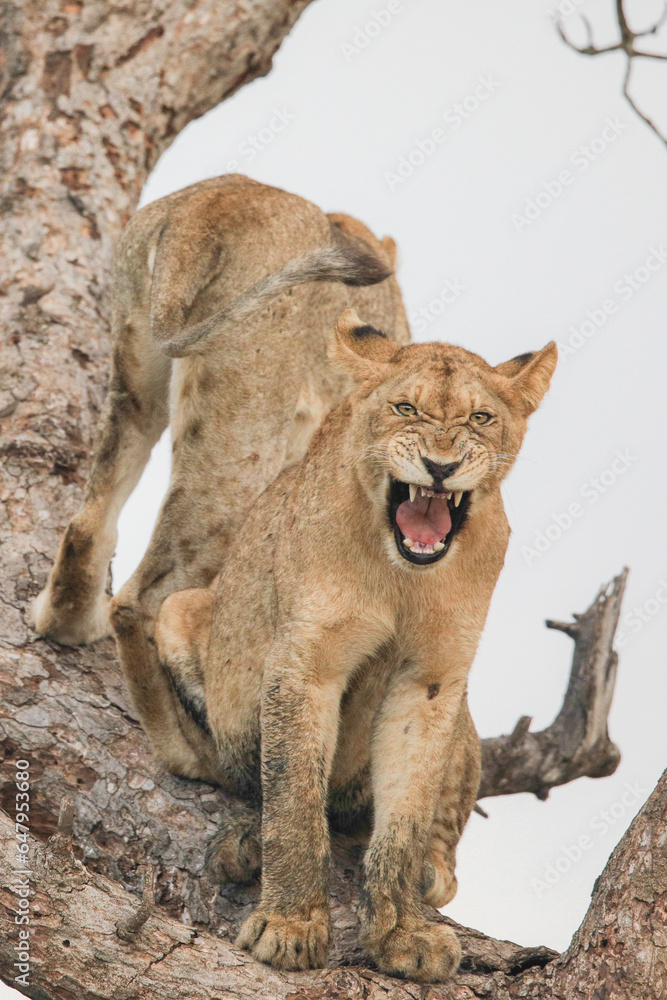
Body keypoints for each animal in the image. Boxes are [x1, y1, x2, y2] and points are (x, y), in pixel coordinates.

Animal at [31, 174, 409, 778]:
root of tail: (213, 205)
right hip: (244, 432)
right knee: (142, 599)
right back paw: (190, 753)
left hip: (135, 370)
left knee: (91, 520)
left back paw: (65, 623)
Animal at [153, 308, 557, 981]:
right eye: (404, 408)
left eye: (480, 418)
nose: (439, 467)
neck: (403, 574)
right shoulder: (307, 662)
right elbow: (293, 797)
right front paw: (289, 925)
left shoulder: (432, 678)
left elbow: (408, 812)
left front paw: (401, 932)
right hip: (176, 612)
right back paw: (246, 843)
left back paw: (431, 871)